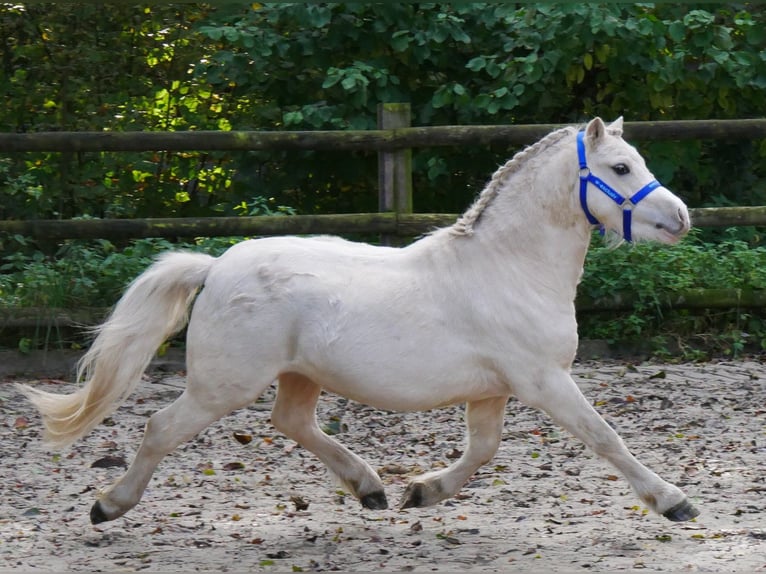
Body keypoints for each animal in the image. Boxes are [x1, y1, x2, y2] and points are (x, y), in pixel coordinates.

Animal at [18, 119, 704, 528]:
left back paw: (370, 487)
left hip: (298, 375)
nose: (681, 218)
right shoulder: (544, 381)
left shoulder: (494, 390)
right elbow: (605, 438)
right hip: (224, 384)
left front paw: (421, 491)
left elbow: (482, 450)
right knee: (162, 427)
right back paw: (108, 506)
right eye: (620, 169)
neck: (510, 267)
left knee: (291, 422)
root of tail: (215, 267)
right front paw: (674, 502)